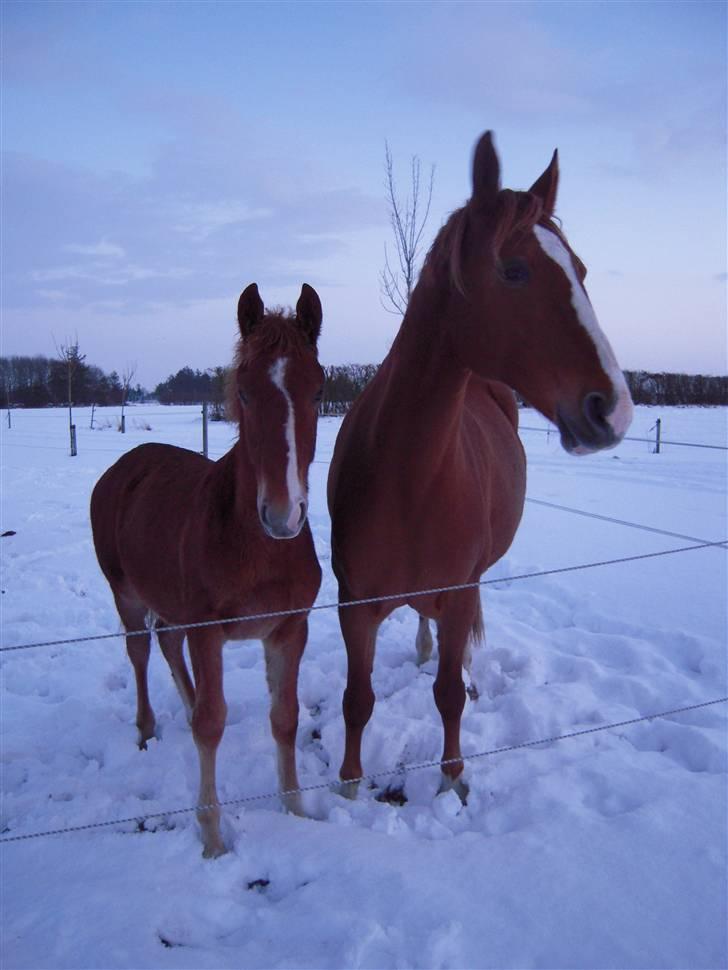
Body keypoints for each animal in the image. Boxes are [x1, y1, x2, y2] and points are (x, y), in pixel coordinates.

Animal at [91, 282, 324, 856]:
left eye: (318, 391)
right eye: (244, 391)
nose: (283, 515)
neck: (258, 549)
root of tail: (123, 467)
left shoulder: (289, 629)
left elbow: (285, 718)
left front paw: (296, 810)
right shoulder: (209, 631)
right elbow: (211, 724)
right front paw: (213, 838)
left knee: (170, 647)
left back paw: (187, 701)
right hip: (127, 595)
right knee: (141, 650)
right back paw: (147, 729)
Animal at [328, 134, 636, 800]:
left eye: (582, 271)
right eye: (514, 270)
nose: (614, 409)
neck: (408, 478)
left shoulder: (459, 589)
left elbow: (447, 696)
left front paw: (452, 783)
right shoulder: (353, 604)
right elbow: (356, 700)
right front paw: (346, 787)